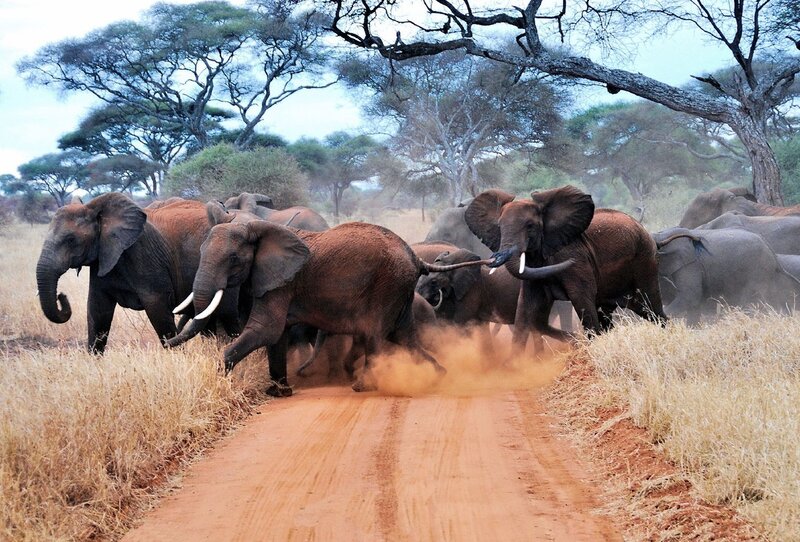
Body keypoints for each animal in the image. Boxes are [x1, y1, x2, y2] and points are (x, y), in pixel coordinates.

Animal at [36, 193, 240, 353]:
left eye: (70, 239)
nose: (61, 296)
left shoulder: (144, 256)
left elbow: (158, 310)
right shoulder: (103, 258)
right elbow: (97, 310)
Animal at [165, 220, 568, 395]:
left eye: (233, 260)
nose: (166, 342)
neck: (258, 227)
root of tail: (414, 257)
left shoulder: (282, 280)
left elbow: (267, 329)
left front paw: (222, 374)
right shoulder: (275, 281)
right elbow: (274, 335)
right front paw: (279, 392)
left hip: (386, 285)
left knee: (376, 333)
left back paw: (364, 386)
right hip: (401, 291)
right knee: (403, 335)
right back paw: (437, 375)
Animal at [465, 186, 666, 354]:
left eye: (530, 226)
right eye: (499, 227)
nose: (495, 259)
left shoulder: (576, 259)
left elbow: (582, 299)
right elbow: (525, 307)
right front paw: (515, 366)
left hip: (645, 259)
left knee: (650, 307)